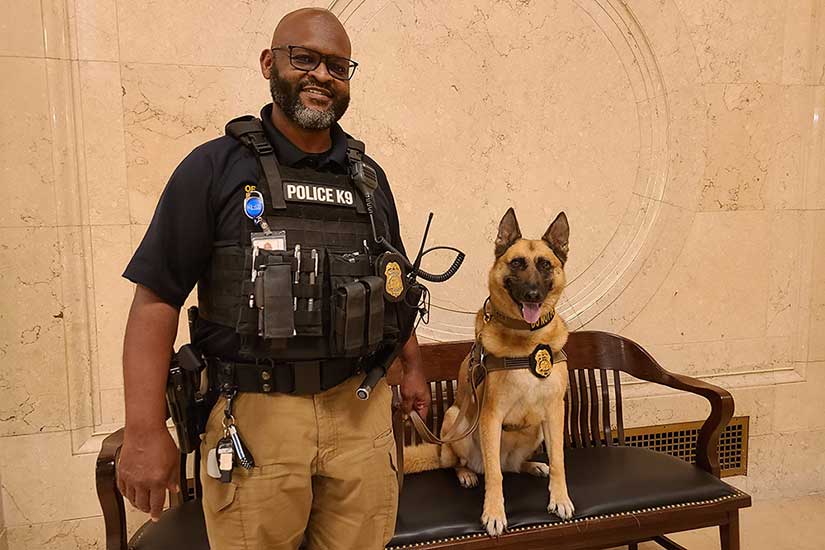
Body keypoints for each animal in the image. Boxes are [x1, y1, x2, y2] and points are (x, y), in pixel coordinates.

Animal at [400, 209, 568, 536]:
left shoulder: (555, 412)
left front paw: (560, 498)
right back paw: (466, 473)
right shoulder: (490, 416)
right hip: (458, 421)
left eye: (545, 265)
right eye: (517, 263)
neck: (526, 340)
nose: (532, 295)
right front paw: (493, 513)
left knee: (511, 467)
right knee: (466, 464)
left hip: (537, 431)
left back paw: (532, 465)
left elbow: (559, 461)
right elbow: (494, 476)